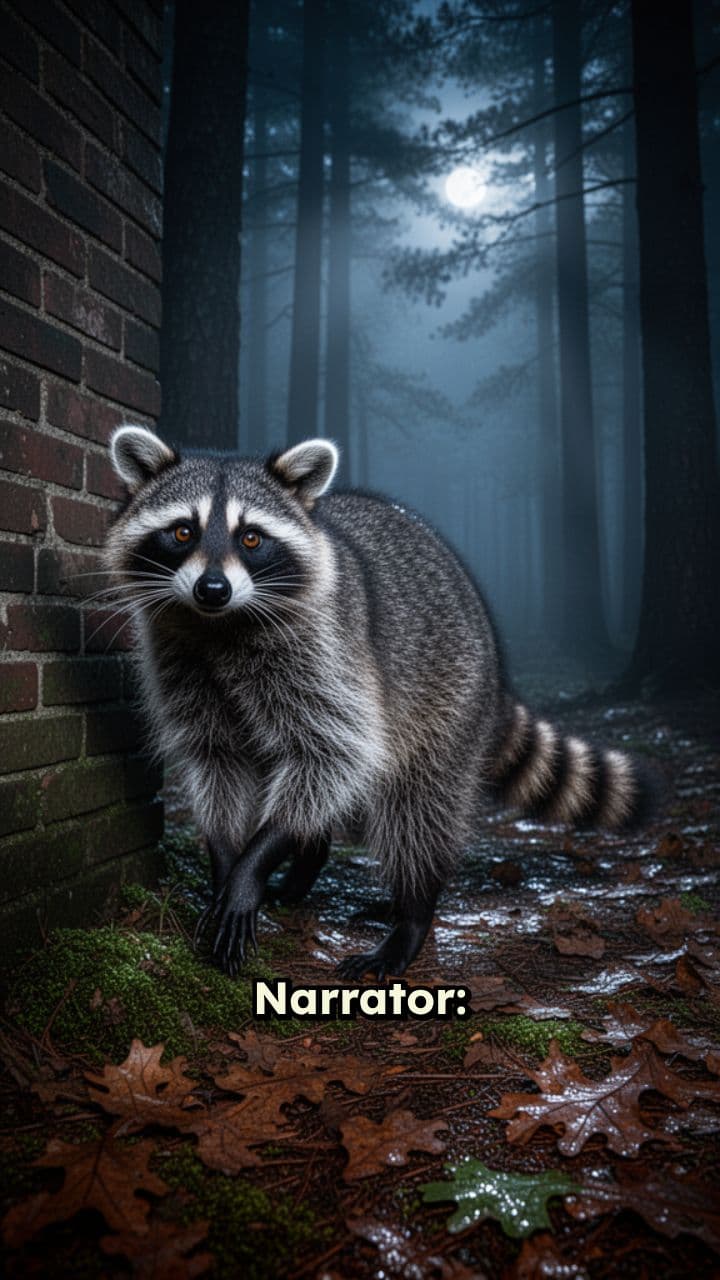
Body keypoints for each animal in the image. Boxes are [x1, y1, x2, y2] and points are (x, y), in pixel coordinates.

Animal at [105, 425, 649, 980]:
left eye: (251, 537)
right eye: (182, 532)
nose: (211, 588)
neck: (218, 626)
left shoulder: (328, 656)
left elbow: (332, 753)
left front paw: (255, 860)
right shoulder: (181, 664)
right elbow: (215, 760)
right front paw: (226, 859)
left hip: (445, 697)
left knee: (417, 809)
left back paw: (412, 914)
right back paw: (309, 862)